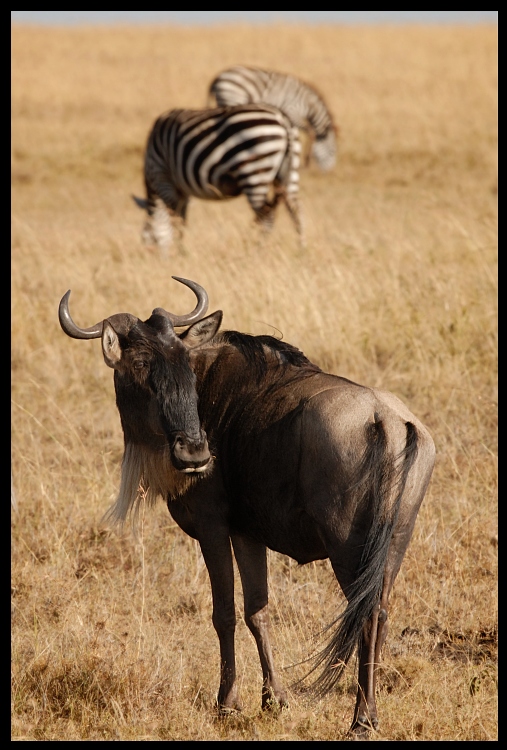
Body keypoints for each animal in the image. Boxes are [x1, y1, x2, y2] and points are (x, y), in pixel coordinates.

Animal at [133, 103, 304, 258]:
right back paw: (301, 250)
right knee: (296, 212)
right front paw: (181, 252)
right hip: (289, 172)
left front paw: (177, 252)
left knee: (267, 217)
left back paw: (257, 253)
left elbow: (175, 221)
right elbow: (182, 219)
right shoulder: (182, 192)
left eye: (145, 239)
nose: (152, 258)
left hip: (254, 172)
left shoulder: (163, 178)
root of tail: (282, 118)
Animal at [208, 65, 340, 172]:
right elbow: (310, 132)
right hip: (232, 99)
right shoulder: (292, 111)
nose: (330, 172)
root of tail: (217, 78)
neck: (308, 104)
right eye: (332, 152)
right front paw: (305, 162)